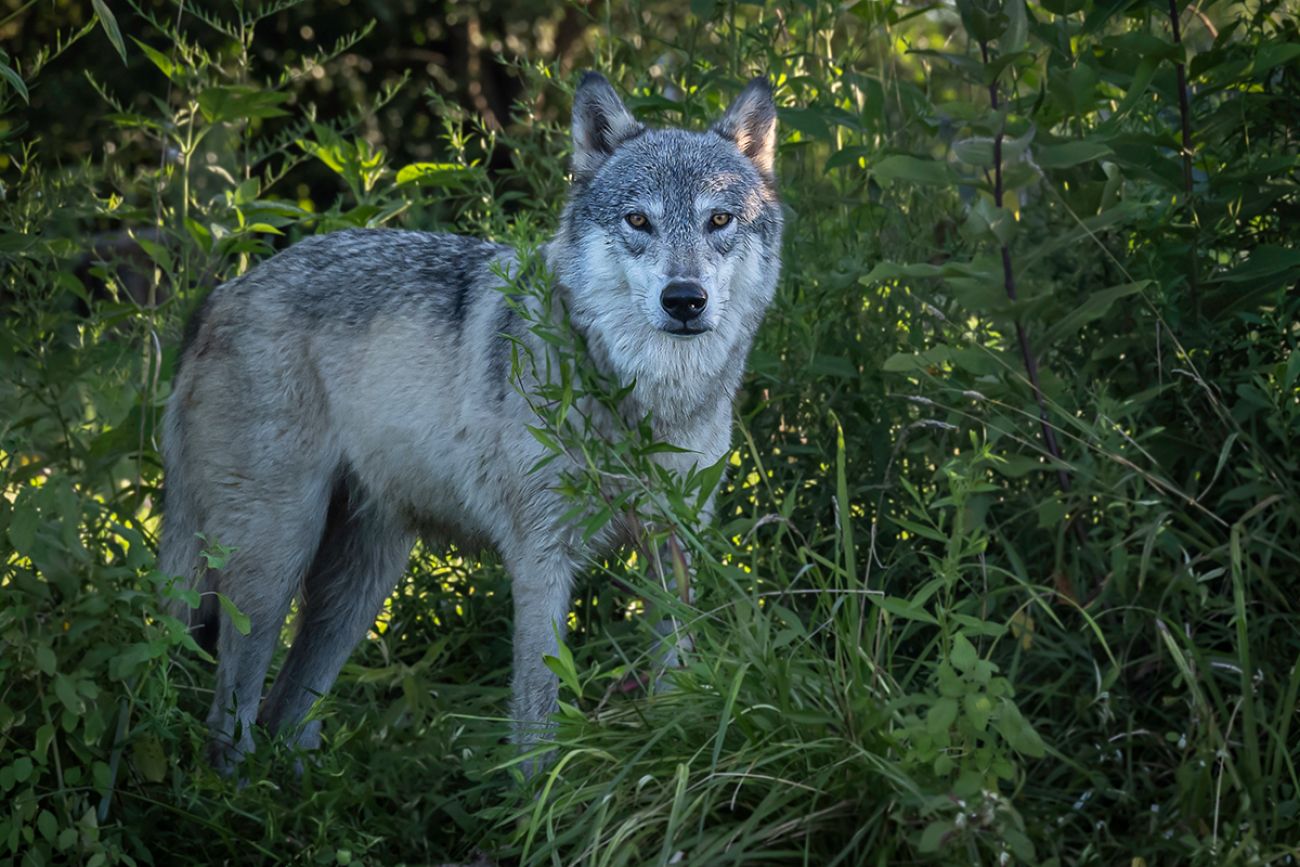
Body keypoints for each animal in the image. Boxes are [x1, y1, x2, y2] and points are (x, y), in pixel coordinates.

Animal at [161, 71, 780, 769]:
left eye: (719, 219)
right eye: (638, 220)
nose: (684, 300)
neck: (641, 401)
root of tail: (220, 296)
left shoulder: (674, 545)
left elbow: (675, 675)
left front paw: (676, 753)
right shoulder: (540, 560)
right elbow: (537, 713)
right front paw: (538, 797)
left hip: (357, 587)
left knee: (285, 715)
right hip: (272, 567)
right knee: (230, 722)